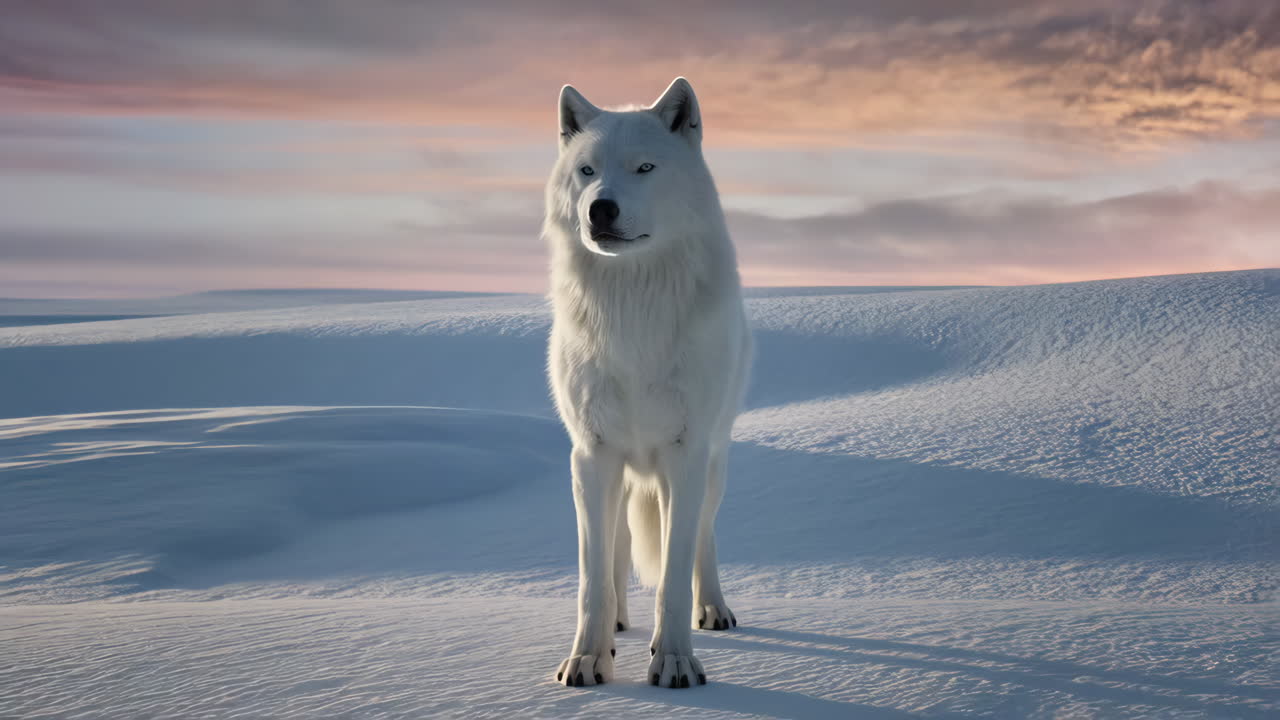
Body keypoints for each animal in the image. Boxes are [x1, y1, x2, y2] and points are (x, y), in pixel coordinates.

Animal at [544, 77, 752, 689]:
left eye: (644, 167)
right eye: (587, 170)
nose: (600, 208)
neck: (632, 310)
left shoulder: (684, 456)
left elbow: (674, 577)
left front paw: (675, 662)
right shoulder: (590, 455)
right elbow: (591, 580)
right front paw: (587, 660)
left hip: (711, 466)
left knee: (702, 539)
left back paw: (713, 608)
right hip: (615, 474)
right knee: (614, 548)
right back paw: (616, 625)